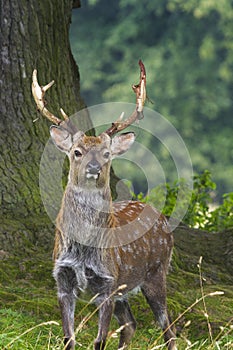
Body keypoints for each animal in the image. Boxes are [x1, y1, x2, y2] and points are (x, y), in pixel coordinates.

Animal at [31, 62, 176, 350]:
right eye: (77, 152)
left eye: (106, 153)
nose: (94, 168)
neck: (83, 249)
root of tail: (162, 218)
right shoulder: (62, 279)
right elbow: (69, 338)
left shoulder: (108, 282)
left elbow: (99, 340)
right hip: (126, 290)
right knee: (130, 324)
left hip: (156, 272)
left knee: (169, 328)